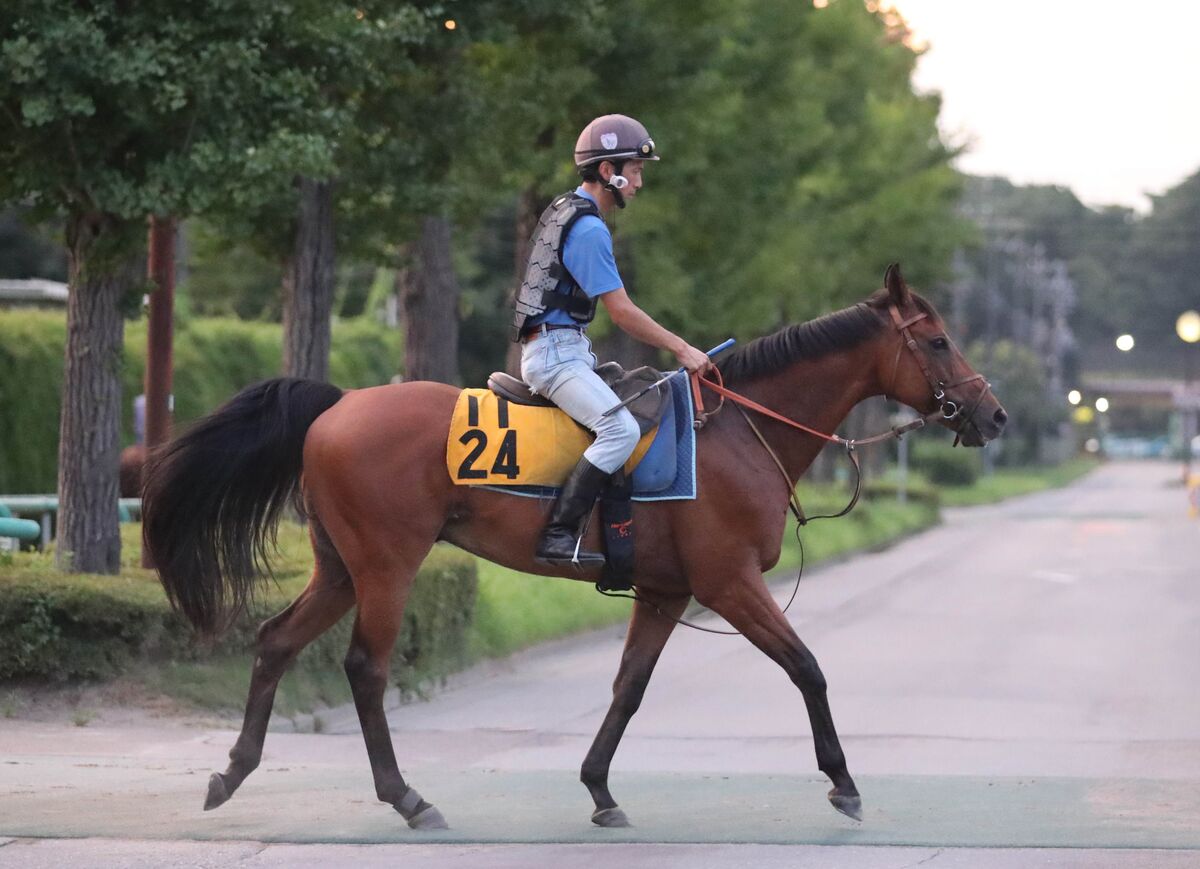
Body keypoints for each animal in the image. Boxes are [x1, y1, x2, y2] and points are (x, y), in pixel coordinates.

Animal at [140, 262, 1003, 830]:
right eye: (937, 340)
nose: (991, 415)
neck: (738, 430)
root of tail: (337, 404)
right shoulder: (728, 585)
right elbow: (807, 667)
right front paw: (843, 780)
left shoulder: (666, 591)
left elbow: (629, 687)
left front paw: (599, 788)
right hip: (386, 564)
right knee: (365, 667)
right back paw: (408, 797)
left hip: (340, 568)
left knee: (276, 640)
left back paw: (232, 772)